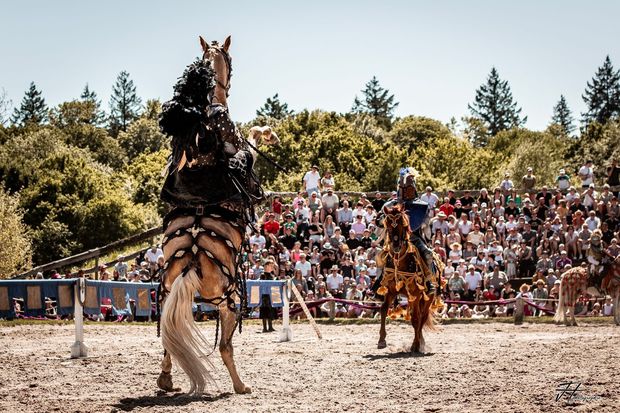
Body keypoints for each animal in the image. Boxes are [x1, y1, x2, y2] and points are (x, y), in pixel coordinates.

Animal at [157, 35, 278, 395]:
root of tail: (192, 260)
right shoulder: (243, 153)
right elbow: (251, 141)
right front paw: (266, 132)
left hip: (169, 298)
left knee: (167, 343)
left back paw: (166, 380)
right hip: (229, 301)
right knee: (225, 346)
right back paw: (240, 385)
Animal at [376, 204, 443, 353]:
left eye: (402, 224)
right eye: (387, 224)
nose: (396, 246)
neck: (401, 261)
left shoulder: (415, 294)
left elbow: (416, 319)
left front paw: (416, 345)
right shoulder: (390, 291)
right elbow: (383, 309)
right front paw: (382, 340)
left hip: (428, 297)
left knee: (422, 317)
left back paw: (419, 343)